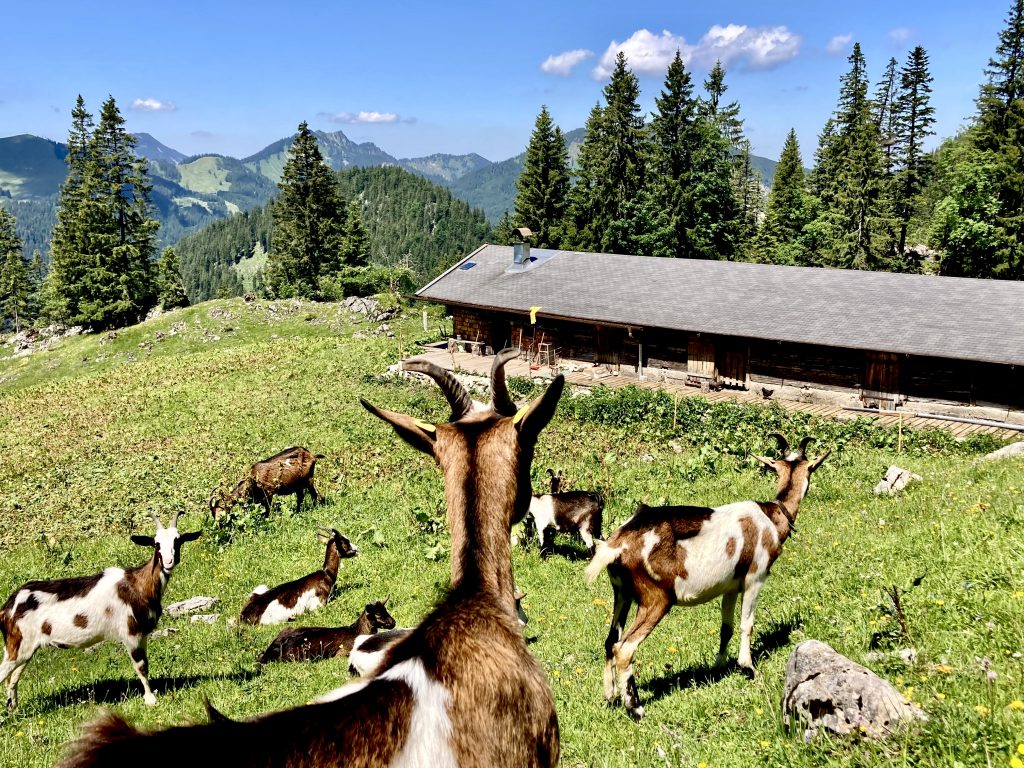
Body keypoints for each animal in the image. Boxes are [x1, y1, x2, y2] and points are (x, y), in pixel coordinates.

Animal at [0, 512, 200, 710]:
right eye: (156, 543)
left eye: (178, 540)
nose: (168, 562)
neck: (138, 585)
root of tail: (7, 608)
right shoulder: (130, 632)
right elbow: (141, 666)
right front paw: (150, 699)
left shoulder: (142, 634)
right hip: (18, 644)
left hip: (25, 647)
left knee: (13, 677)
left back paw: (13, 709)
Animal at [584, 434, 829, 718]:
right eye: (811, 469)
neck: (772, 516)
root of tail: (618, 543)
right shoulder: (755, 578)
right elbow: (747, 624)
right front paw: (748, 667)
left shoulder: (730, 586)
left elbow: (726, 628)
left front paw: (718, 666)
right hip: (655, 599)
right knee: (624, 648)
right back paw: (635, 708)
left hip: (622, 593)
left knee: (609, 641)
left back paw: (610, 696)